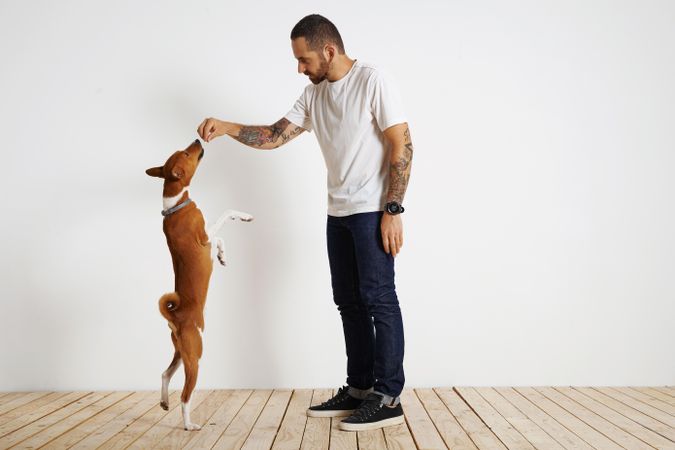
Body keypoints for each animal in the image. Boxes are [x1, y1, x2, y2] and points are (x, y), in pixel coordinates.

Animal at [147, 140, 252, 428]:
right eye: (186, 153)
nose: (197, 140)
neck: (175, 206)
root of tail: (175, 317)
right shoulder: (205, 236)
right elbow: (225, 217)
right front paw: (242, 218)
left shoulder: (207, 237)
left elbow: (221, 236)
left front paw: (223, 256)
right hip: (195, 357)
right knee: (185, 395)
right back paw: (188, 424)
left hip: (180, 352)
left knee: (164, 374)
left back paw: (164, 402)